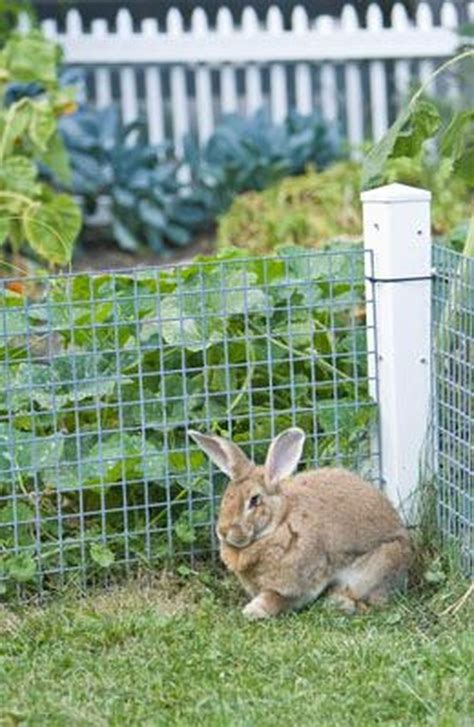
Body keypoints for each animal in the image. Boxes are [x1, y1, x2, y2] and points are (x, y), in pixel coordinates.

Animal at [189, 426, 412, 620]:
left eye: (254, 500)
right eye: (227, 496)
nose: (223, 531)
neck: (279, 525)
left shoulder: (300, 584)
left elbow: (276, 599)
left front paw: (253, 610)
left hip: (378, 566)